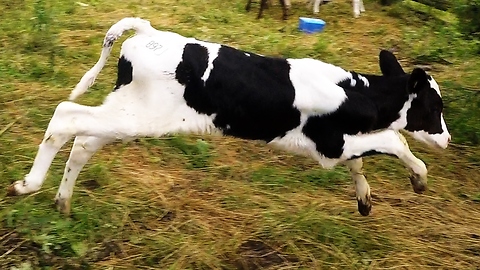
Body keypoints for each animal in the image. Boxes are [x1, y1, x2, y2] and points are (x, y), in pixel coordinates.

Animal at [7, 17, 450, 216]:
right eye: (435, 107)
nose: (447, 139)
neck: (357, 92)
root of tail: (148, 31)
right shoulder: (330, 144)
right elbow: (394, 139)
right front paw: (419, 177)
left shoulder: (340, 147)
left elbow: (361, 161)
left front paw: (364, 199)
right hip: (135, 116)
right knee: (66, 116)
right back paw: (27, 185)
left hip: (128, 112)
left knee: (82, 141)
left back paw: (63, 202)